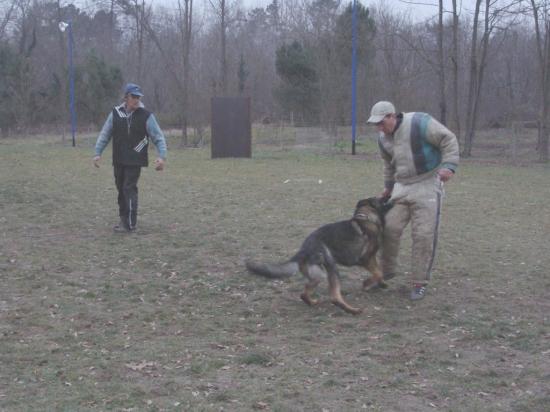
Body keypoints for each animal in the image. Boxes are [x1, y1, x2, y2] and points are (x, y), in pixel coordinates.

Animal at [246, 198, 392, 314]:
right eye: (381, 199)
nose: (389, 197)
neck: (366, 217)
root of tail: (303, 250)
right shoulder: (365, 258)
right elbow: (377, 272)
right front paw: (368, 283)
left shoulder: (371, 258)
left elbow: (378, 272)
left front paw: (380, 283)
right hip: (330, 268)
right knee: (334, 296)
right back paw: (353, 310)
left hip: (316, 274)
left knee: (304, 293)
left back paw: (312, 303)